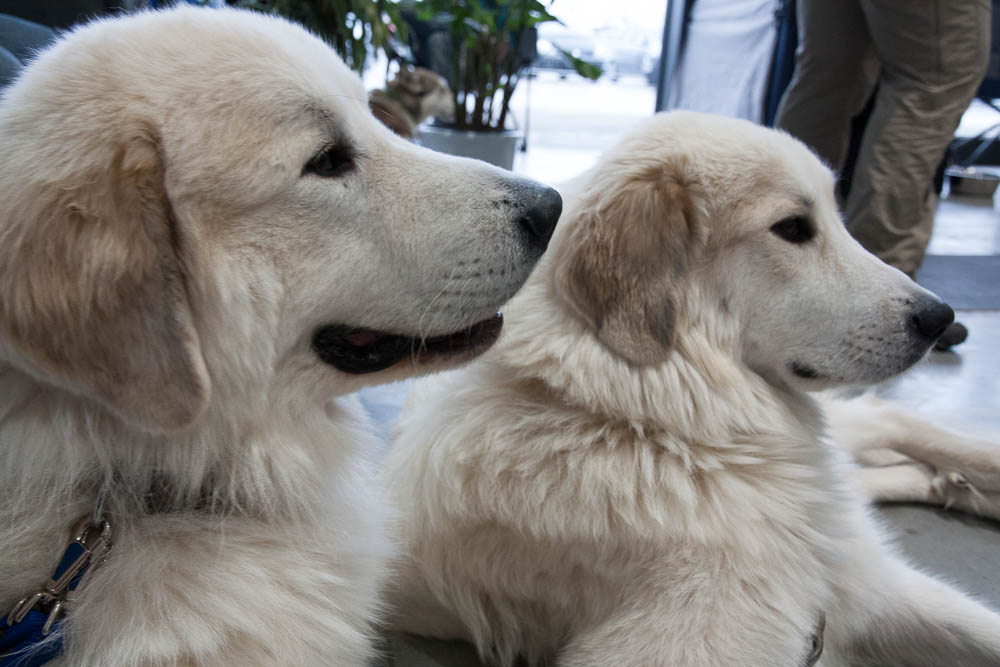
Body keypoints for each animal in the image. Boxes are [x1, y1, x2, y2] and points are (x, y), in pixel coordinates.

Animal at [384, 112, 1000, 664]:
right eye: (793, 229)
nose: (941, 318)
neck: (652, 423)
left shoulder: (871, 589)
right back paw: (950, 483)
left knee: (887, 426)